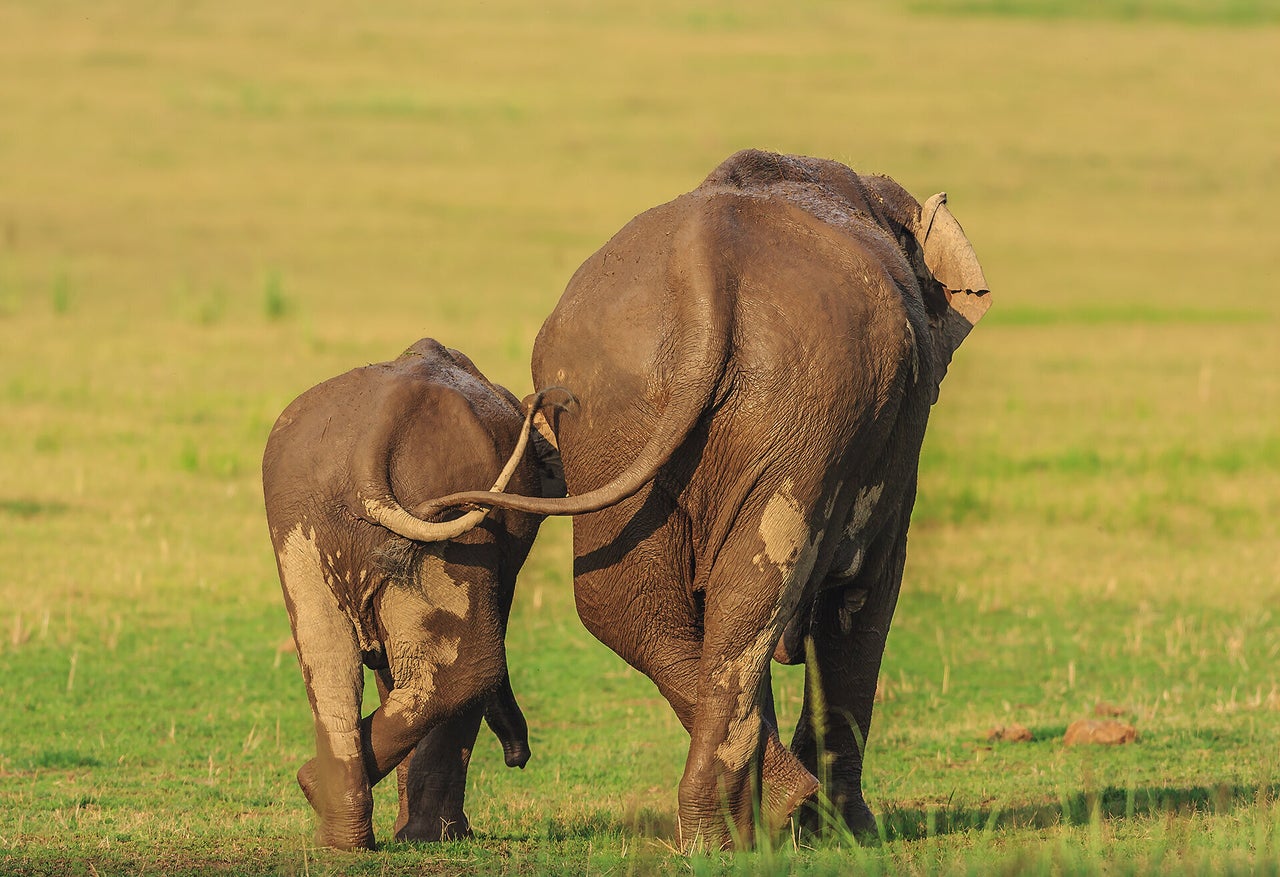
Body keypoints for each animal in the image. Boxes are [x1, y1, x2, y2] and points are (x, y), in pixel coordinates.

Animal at [259, 337, 560, 850]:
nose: (518, 756)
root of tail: (378, 431)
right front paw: (438, 839)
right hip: (453, 517)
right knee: (469, 669)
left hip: (298, 512)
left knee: (330, 661)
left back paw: (337, 832)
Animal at [427, 150, 988, 850]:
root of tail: (701, 273)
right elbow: (865, 594)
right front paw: (853, 834)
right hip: (800, 403)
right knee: (755, 589)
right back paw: (766, 815)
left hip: (613, 411)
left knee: (632, 607)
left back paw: (726, 831)